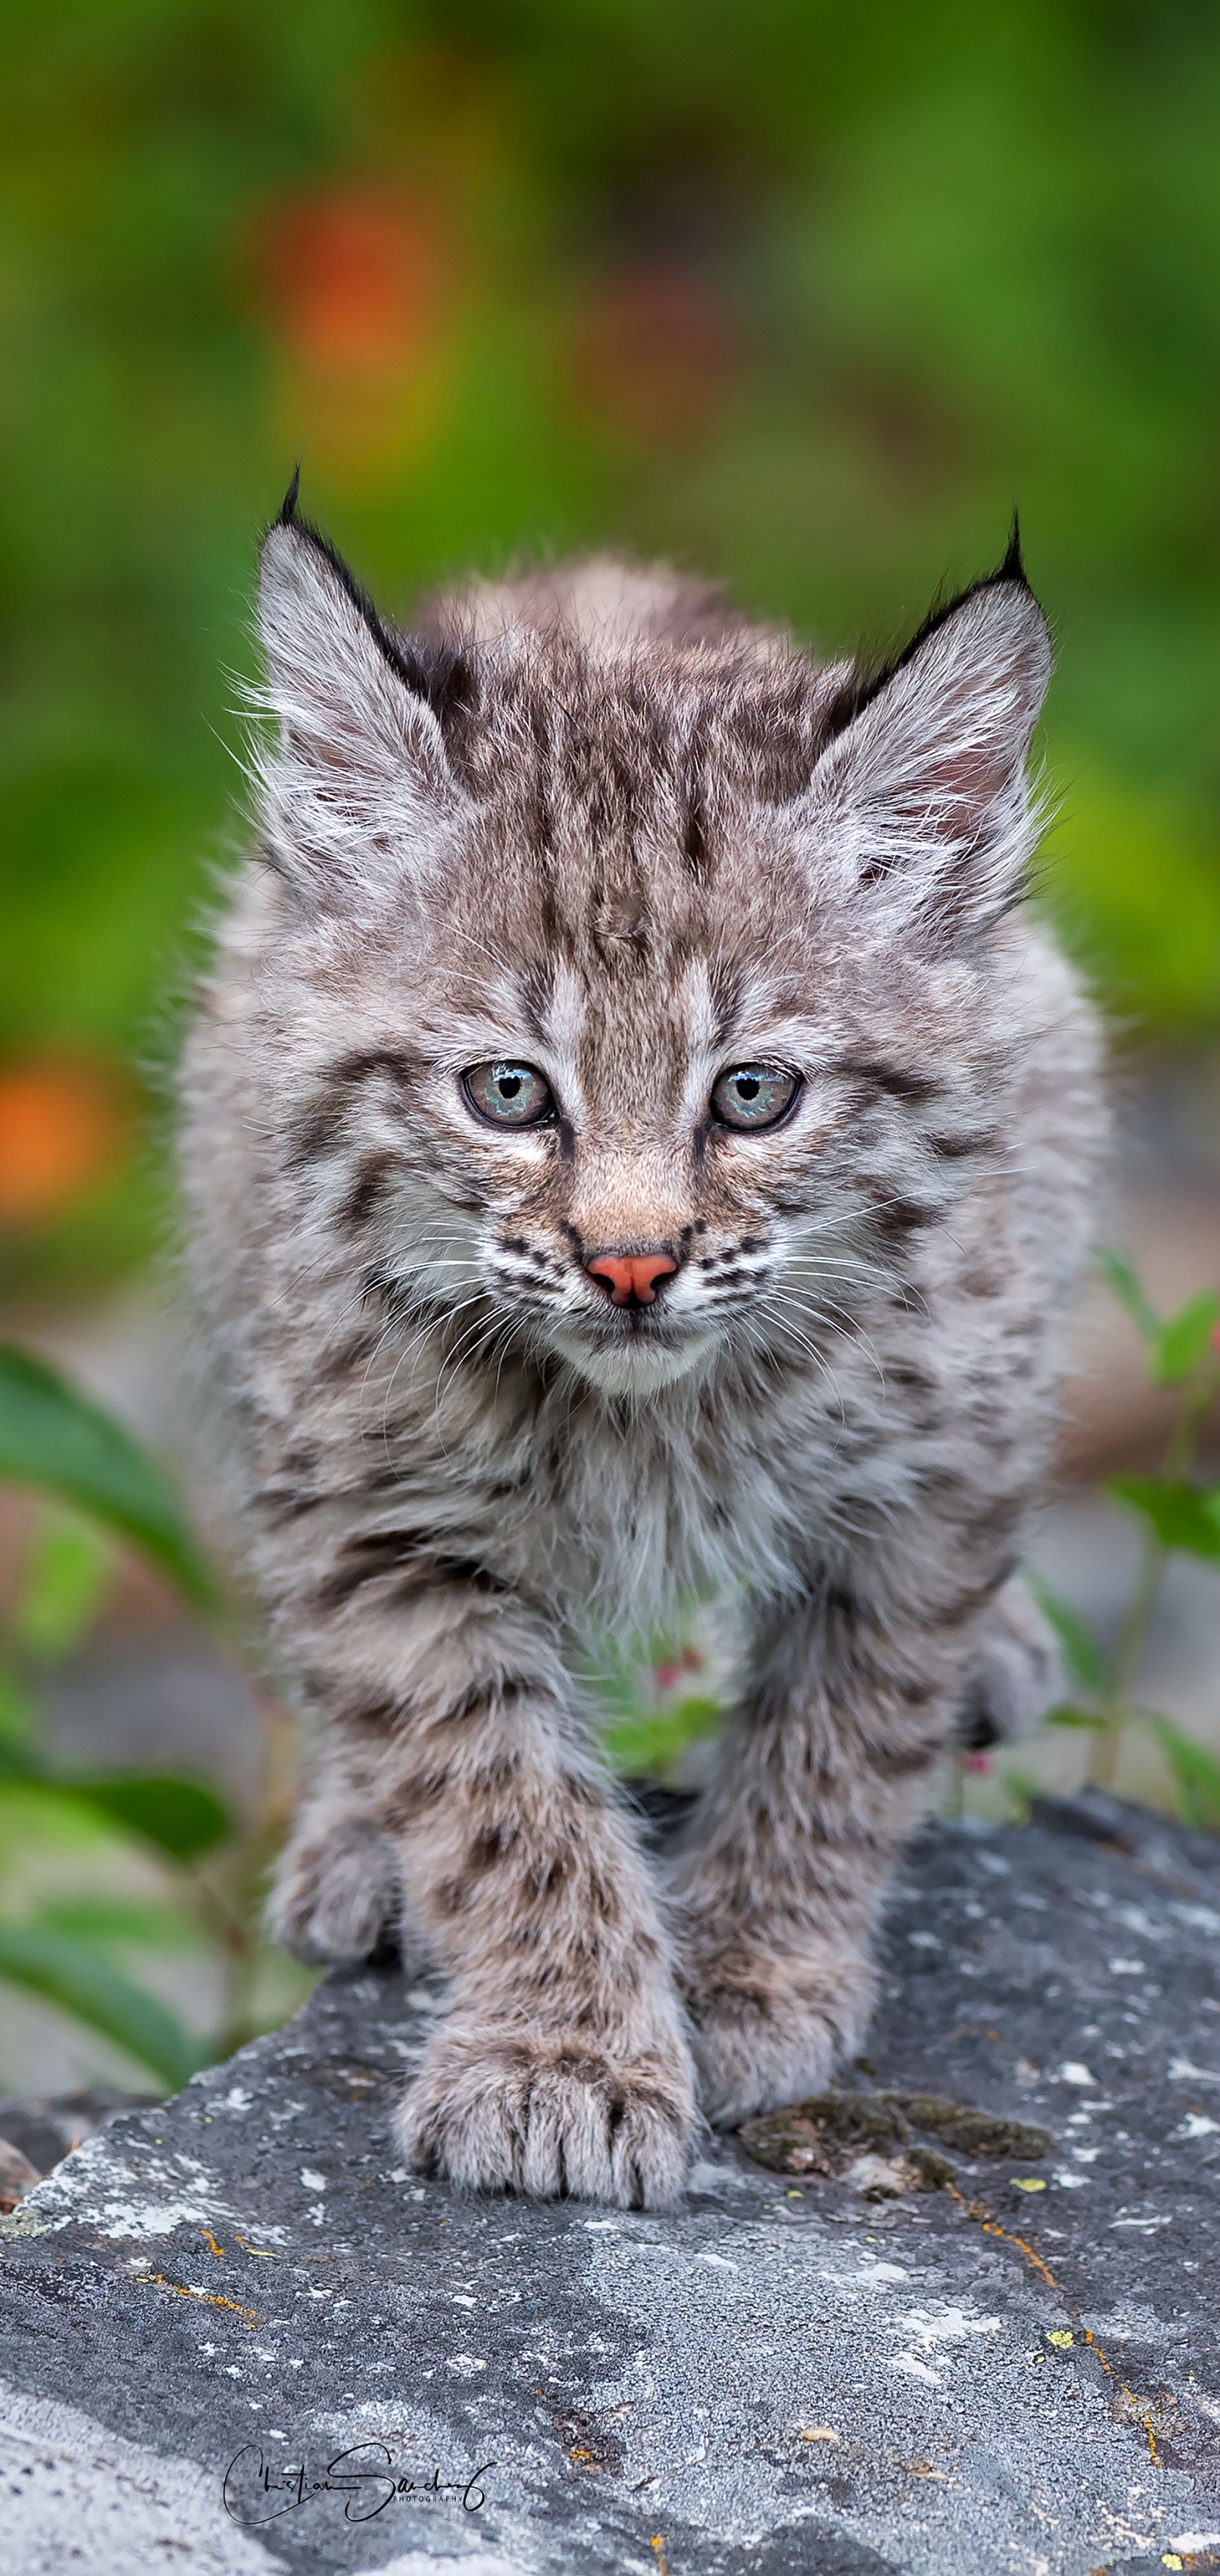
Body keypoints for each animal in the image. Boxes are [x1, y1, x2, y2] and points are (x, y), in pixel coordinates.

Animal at [184, 497, 1106, 2215]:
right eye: (506, 1092)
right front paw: (562, 2057)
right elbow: (492, 1783)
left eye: (752, 1094)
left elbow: (841, 1730)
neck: (651, 1416)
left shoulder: (937, 1469)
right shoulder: (365, 1496)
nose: (630, 1265)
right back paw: (355, 1842)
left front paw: (749, 1975)